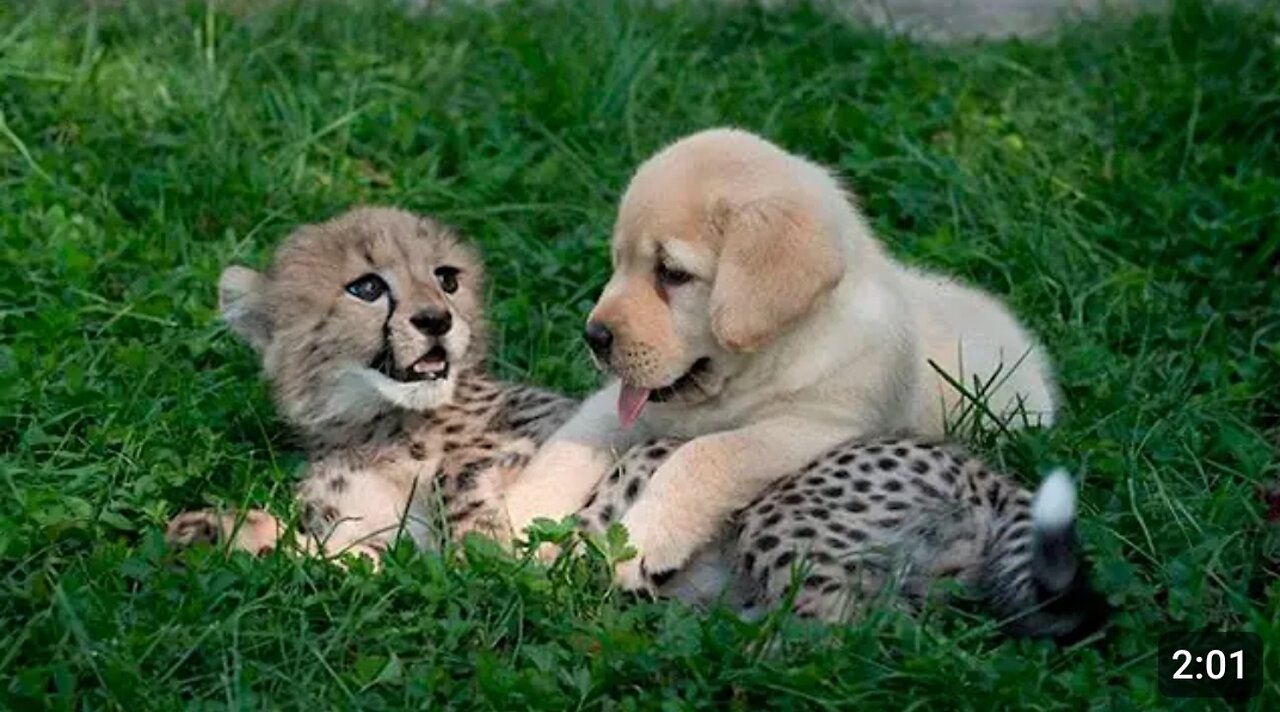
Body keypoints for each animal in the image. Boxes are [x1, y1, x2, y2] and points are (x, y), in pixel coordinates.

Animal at [504, 129, 1054, 589]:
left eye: (672, 273)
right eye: (618, 262)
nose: (593, 336)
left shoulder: (814, 428)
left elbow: (707, 454)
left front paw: (644, 539)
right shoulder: (630, 405)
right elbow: (571, 443)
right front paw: (516, 516)